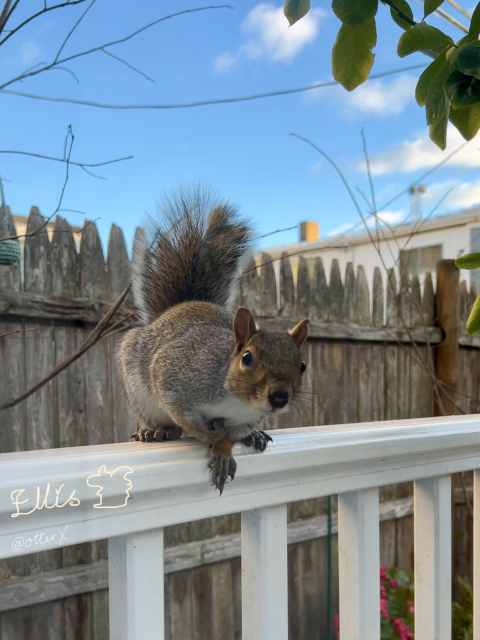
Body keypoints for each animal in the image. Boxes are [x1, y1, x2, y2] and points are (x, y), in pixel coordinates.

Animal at [118, 185, 310, 496]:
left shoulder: (248, 419)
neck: (236, 401)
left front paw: (223, 449)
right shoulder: (175, 376)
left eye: (302, 365)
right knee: (169, 424)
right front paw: (209, 434)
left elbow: (232, 436)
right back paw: (157, 430)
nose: (280, 396)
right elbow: (184, 417)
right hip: (140, 395)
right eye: (247, 358)